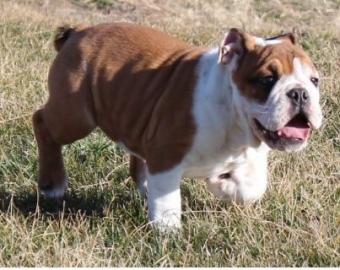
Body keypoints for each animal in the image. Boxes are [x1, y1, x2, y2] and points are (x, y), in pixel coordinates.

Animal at [33, 23, 322, 230]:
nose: (299, 93)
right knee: (42, 123)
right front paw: (167, 231)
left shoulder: (252, 155)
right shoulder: (166, 153)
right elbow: (167, 198)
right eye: (267, 79)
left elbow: (254, 187)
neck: (236, 119)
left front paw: (223, 185)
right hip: (75, 116)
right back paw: (52, 185)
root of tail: (78, 31)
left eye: (314, 80)